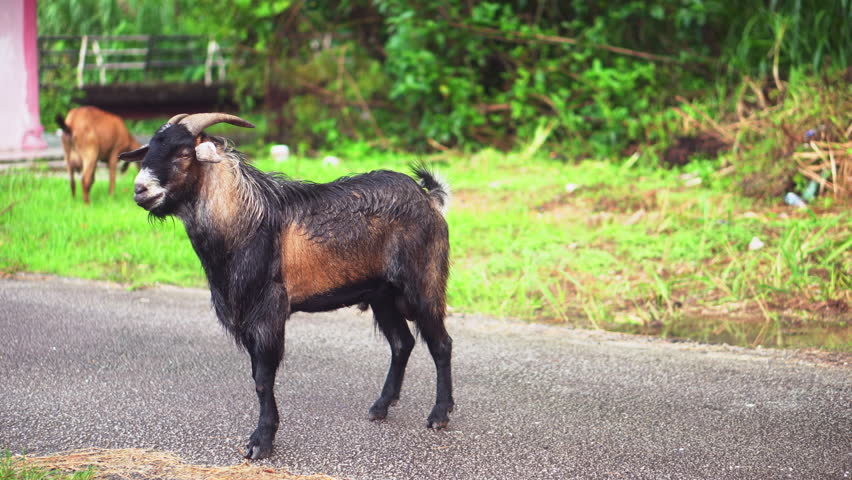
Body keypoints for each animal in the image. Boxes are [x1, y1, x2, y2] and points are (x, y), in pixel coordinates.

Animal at [121, 112, 452, 458]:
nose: (141, 190)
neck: (246, 221)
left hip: (423, 284)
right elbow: (257, 376)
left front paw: (261, 441)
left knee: (441, 344)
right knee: (402, 343)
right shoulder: (247, 314)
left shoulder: (268, 310)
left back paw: (439, 414)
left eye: (184, 152)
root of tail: (429, 197)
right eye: (149, 150)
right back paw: (380, 407)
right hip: (382, 295)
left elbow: (263, 379)